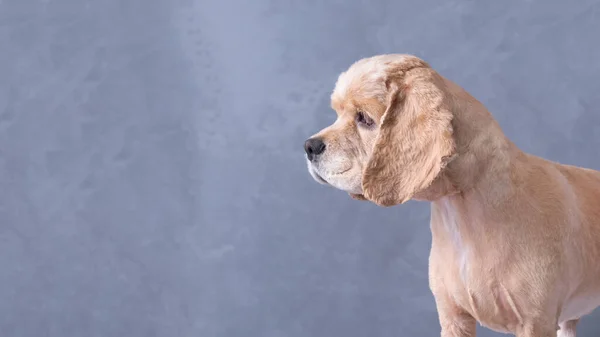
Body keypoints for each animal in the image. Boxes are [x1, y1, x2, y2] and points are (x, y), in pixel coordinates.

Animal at [302, 53, 600, 334]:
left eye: (364, 118)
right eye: (337, 113)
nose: (309, 146)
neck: (464, 210)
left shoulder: (535, 322)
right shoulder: (453, 316)